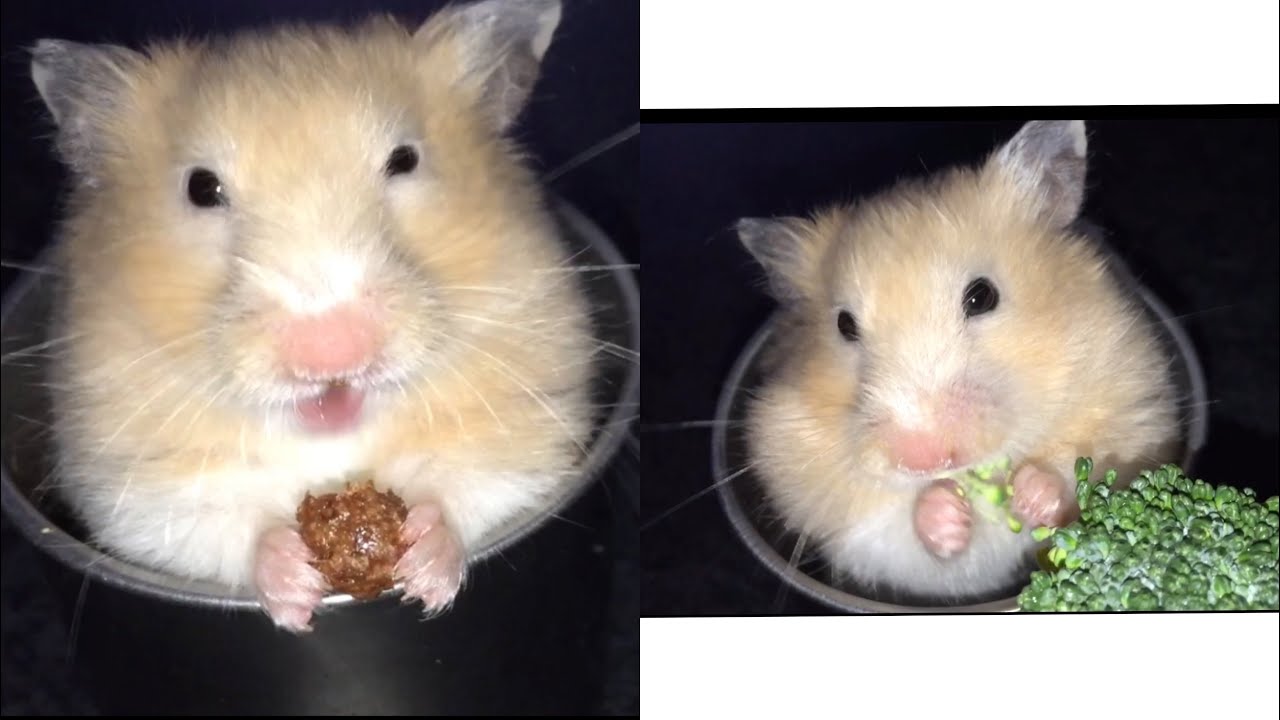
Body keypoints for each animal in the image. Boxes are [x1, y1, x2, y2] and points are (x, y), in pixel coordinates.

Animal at [29, 0, 598, 632]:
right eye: (200, 187)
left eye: (405, 160)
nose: (333, 351)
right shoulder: (128, 485)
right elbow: (214, 523)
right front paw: (295, 590)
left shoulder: (537, 415)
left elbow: (474, 482)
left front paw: (424, 572)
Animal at [737, 120, 1184, 602]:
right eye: (844, 325)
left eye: (982, 296)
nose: (926, 458)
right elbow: (903, 540)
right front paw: (943, 509)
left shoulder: (1137, 409)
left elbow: (1087, 471)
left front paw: (1033, 494)